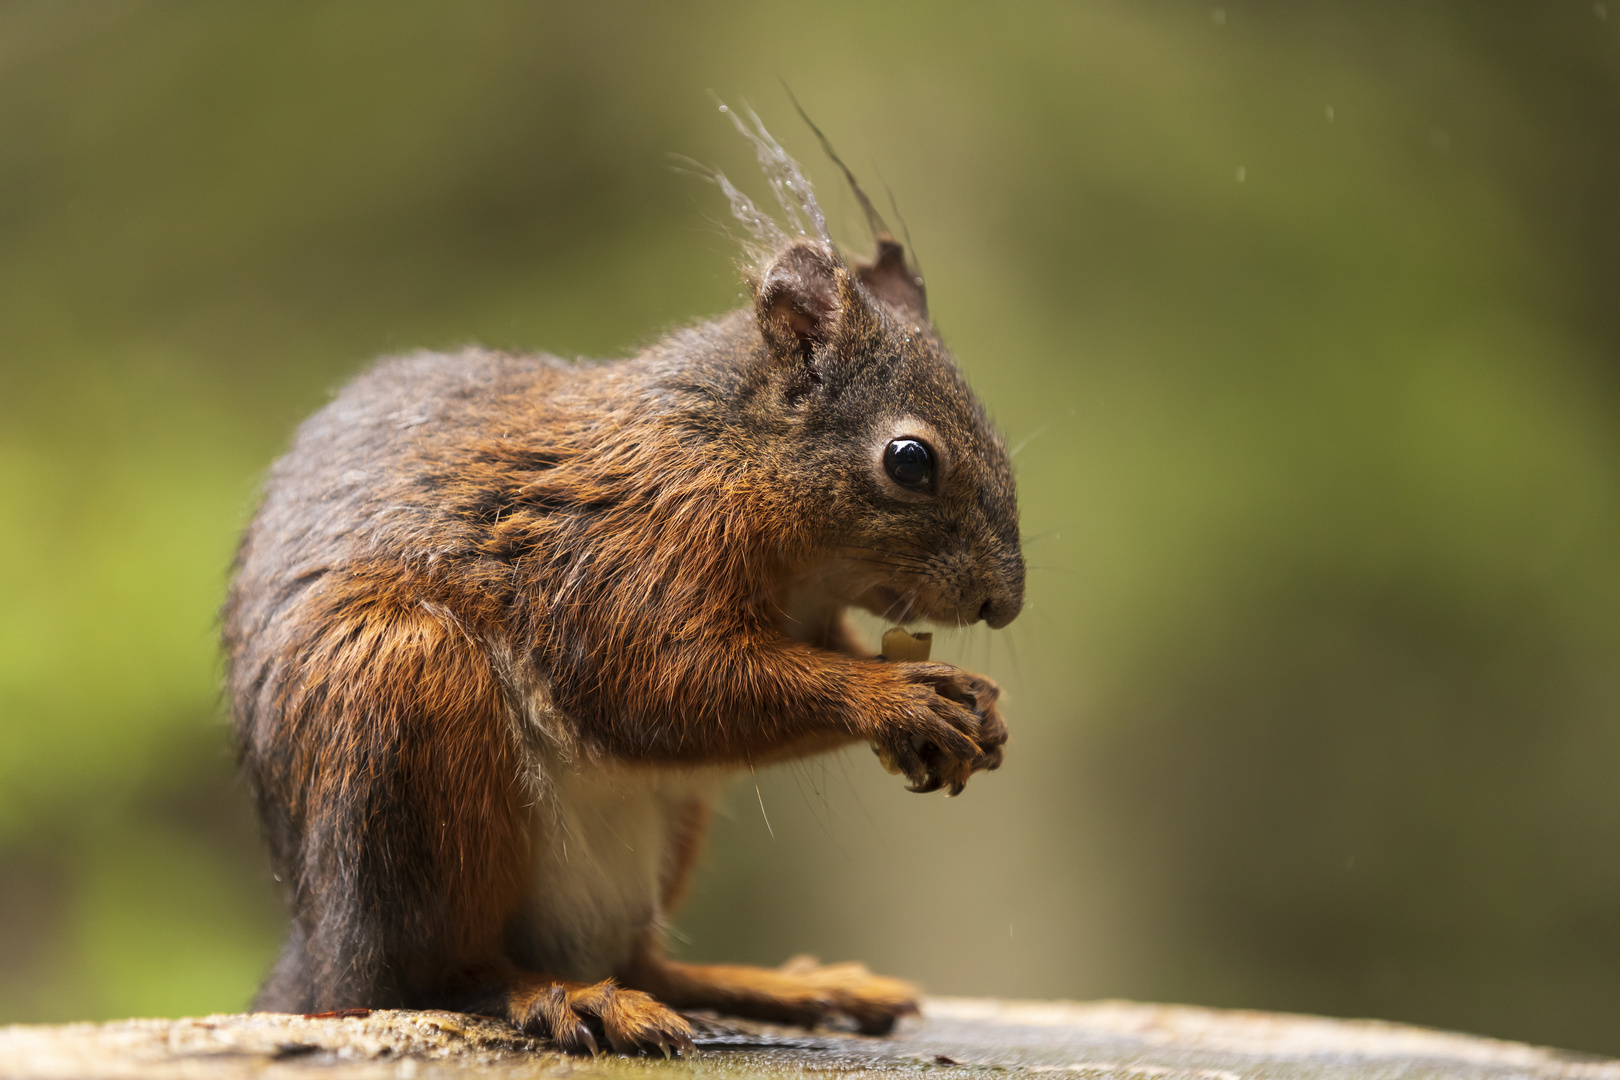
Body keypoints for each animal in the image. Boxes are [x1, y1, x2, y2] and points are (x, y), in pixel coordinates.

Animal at [221, 110, 1017, 1055]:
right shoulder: (625, 553)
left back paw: (772, 986)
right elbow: (657, 681)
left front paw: (976, 704)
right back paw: (561, 996)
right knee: (439, 971)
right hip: (406, 693)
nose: (1004, 603)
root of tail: (320, 950)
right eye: (910, 461)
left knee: (647, 962)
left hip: (665, 830)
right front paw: (896, 697)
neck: (731, 451)